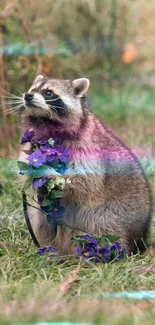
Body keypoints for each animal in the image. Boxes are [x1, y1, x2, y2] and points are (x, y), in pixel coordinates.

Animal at [18, 75, 153, 253]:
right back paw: (51, 250)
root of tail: (140, 238)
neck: (47, 121)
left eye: (48, 93)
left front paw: (51, 173)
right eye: (32, 89)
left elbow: (86, 180)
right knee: (42, 222)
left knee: (99, 224)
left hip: (115, 215)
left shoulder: (86, 145)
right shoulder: (32, 142)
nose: (28, 95)